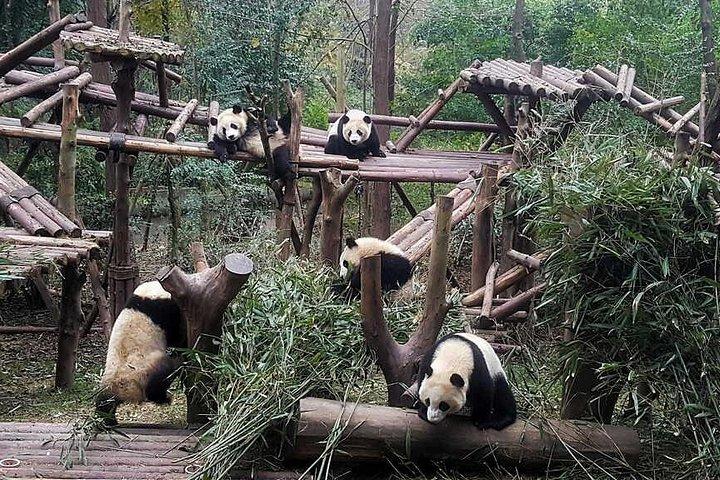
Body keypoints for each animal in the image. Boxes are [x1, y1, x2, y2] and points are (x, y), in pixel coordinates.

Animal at [95, 281, 185, 425]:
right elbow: (175, 334)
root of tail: (125, 389)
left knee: (104, 402)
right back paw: (164, 397)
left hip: (108, 382)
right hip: (145, 368)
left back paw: (107, 420)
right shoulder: (163, 311)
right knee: (162, 376)